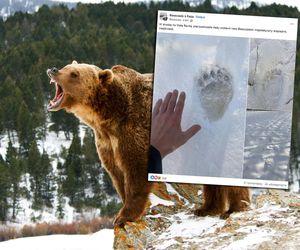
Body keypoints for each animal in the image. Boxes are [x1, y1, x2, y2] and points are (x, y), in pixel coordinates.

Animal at [45, 61, 250, 225]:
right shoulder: (107, 142)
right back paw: (207, 208)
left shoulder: (134, 129)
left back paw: (234, 208)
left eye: (74, 74)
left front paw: (124, 216)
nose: (53, 69)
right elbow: (117, 174)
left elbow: (136, 170)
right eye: (66, 66)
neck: (108, 115)